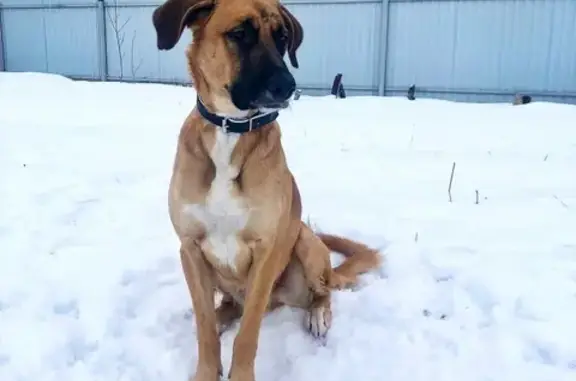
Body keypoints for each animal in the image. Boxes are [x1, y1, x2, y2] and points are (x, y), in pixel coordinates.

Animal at [152, 0, 382, 380]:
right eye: (239, 34)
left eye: (282, 38)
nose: (287, 86)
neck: (230, 130)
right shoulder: (190, 249)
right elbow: (204, 328)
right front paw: (206, 369)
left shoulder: (266, 252)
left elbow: (248, 333)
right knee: (224, 309)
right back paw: (222, 316)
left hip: (305, 243)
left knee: (322, 291)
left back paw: (317, 315)